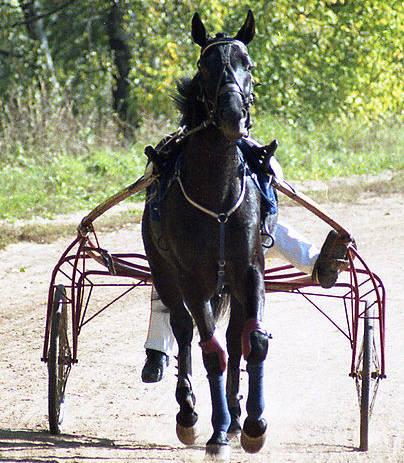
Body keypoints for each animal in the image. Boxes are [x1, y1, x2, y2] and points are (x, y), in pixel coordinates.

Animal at [142, 10, 272, 460]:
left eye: (247, 62)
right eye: (205, 65)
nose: (233, 114)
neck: (215, 193)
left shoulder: (248, 269)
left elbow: (252, 341)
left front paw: (252, 424)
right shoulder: (193, 279)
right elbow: (209, 351)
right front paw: (217, 432)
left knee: (232, 339)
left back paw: (234, 414)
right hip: (165, 271)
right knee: (184, 329)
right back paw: (190, 412)